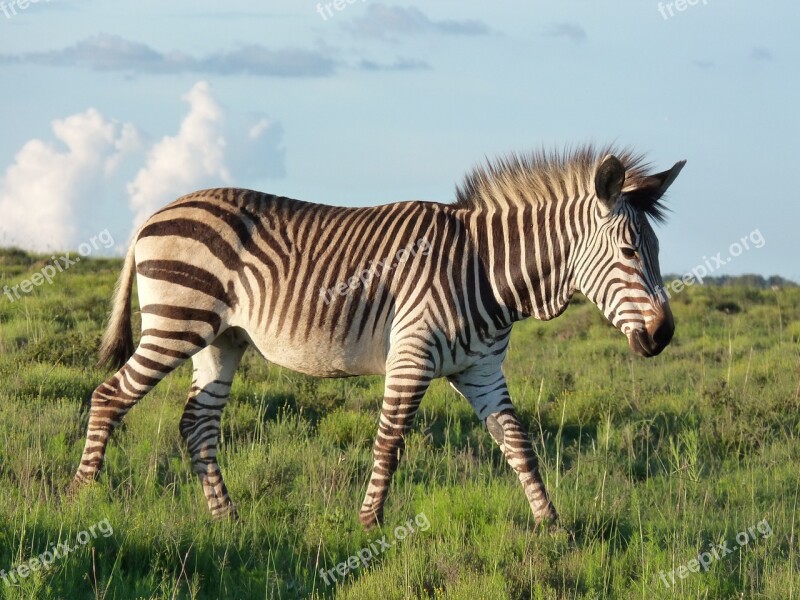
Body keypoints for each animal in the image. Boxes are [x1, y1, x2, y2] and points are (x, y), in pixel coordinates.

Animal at [69, 146, 684, 528]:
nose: (663, 336)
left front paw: (551, 523)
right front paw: (369, 522)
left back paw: (226, 518)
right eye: (630, 252)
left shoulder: (481, 370)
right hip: (178, 322)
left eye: (657, 251)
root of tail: (156, 213)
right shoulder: (412, 353)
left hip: (222, 340)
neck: (485, 268)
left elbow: (518, 443)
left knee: (196, 423)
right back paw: (82, 498)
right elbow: (390, 440)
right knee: (109, 396)